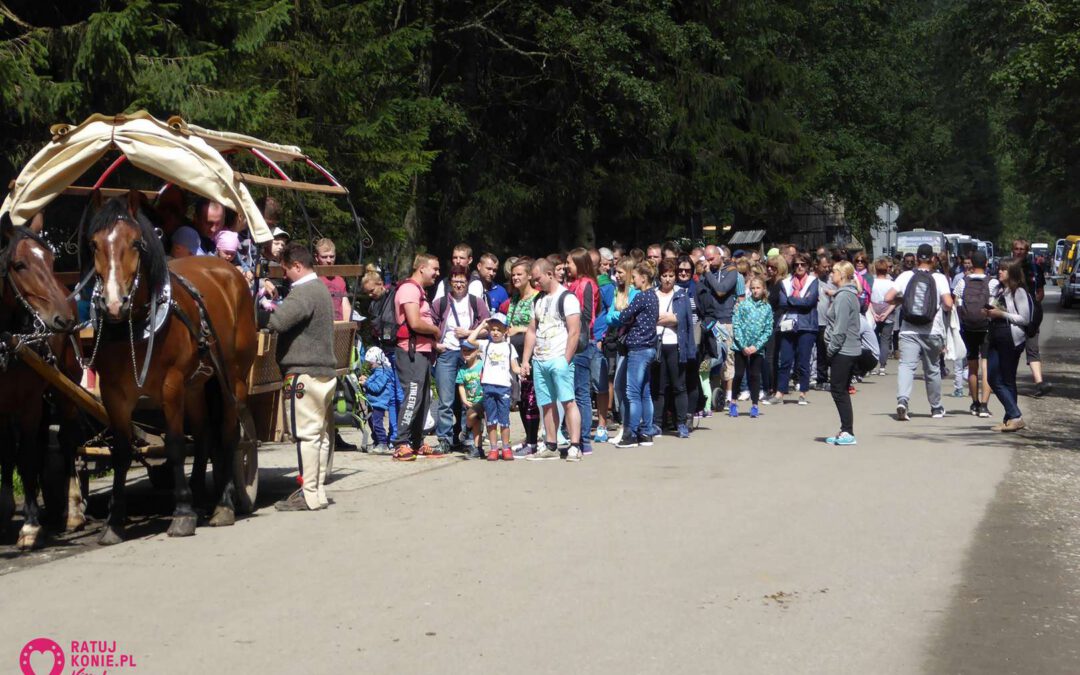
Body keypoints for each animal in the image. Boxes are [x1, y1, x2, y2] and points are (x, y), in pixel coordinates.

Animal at [85, 192, 257, 544]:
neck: (135, 326)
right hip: (197, 385)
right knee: (204, 434)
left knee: (229, 434)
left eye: (135, 243)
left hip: (231, 378)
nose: (114, 303)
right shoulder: (113, 393)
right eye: (94, 244)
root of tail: (228, 270)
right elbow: (122, 452)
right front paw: (114, 521)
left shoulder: (171, 385)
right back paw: (200, 495)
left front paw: (182, 514)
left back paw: (223, 505)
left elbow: (176, 445)